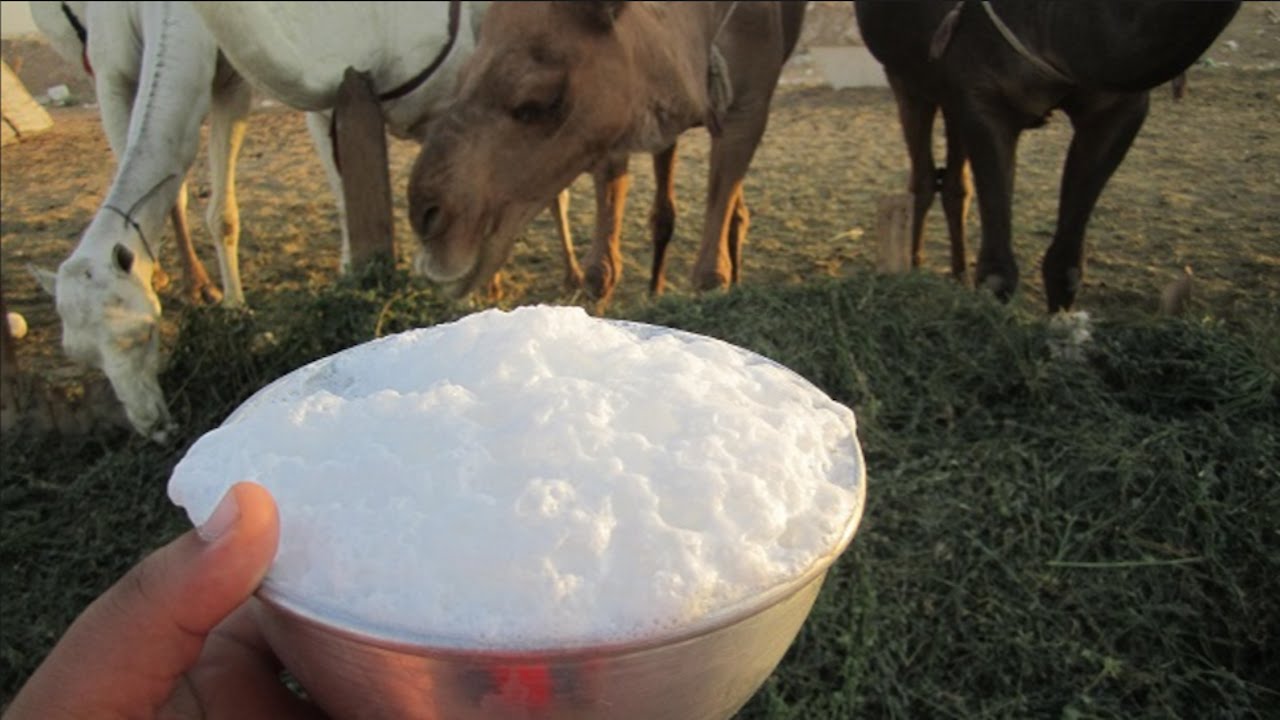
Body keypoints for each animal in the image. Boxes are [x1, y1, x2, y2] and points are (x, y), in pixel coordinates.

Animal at [28, 1, 252, 438]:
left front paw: (233, 306)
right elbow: (165, 181)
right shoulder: (111, 71)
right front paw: (184, 281)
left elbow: (221, 213)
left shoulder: (234, 77)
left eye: (146, 331)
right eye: (83, 357)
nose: (152, 425)